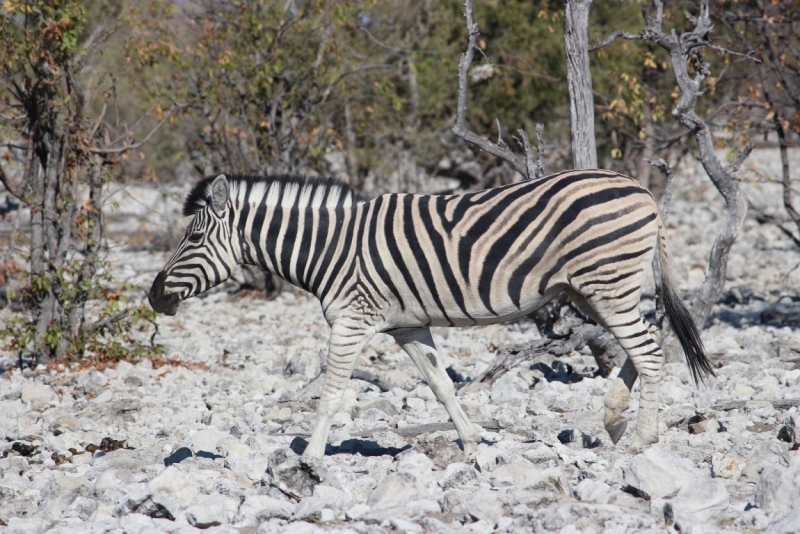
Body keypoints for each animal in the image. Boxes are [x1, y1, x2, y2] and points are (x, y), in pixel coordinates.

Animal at [150, 171, 712, 460]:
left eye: (193, 238)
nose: (153, 297)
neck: (332, 248)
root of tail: (641, 188)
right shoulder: (408, 326)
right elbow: (441, 385)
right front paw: (472, 440)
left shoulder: (352, 320)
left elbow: (331, 391)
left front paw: (309, 457)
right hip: (595, 288)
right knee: (646, 342)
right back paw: (615, 414)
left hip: (606, 282)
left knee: (651, 353)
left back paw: (641, 439)